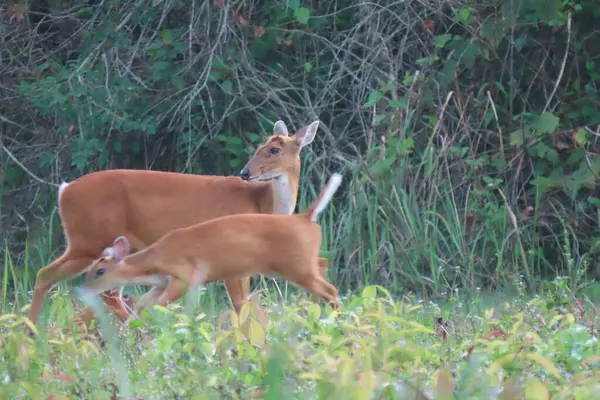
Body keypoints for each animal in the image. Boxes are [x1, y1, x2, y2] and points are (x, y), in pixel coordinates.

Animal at [76, 172, 342, 324]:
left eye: (100, 271)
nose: (81, 292)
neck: (154, 260)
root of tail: (305, 218)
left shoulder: (187, 275)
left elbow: (161, 305)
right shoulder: (160, 284)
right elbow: (140, 306)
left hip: (298, 266)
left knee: (331, 289)